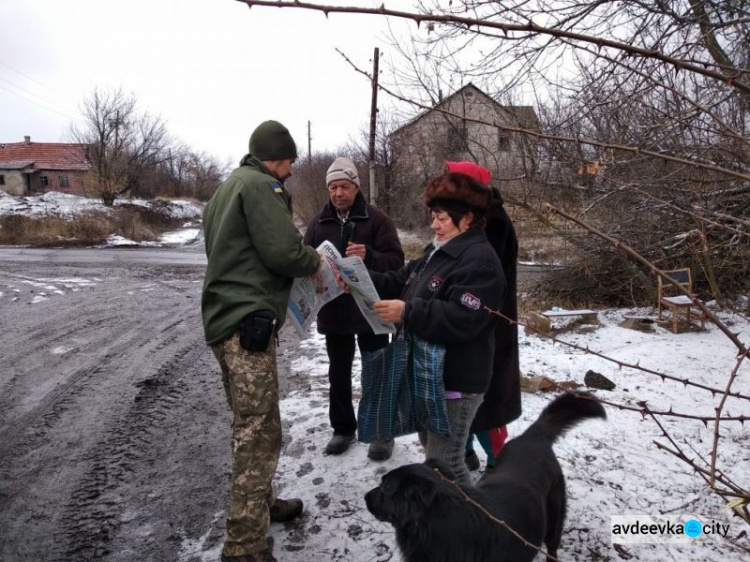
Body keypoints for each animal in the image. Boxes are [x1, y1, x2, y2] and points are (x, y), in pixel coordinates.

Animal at [368, 390, 608, 560]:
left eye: (385, 488)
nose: (365, 497)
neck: (439, 524)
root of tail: (533, 436)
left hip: (554, 521)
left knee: (552, 548)